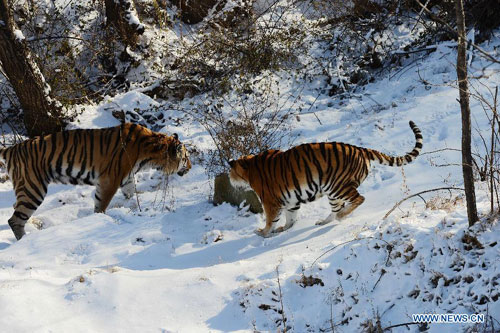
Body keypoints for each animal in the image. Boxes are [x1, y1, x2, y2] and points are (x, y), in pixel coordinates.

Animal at [0, 122, 191, 239]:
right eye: (186, 157)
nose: (190, 167)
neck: (150, 153)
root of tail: (11, 149)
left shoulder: (127, 177)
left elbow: (131, 192)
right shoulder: (109, 179)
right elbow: (102, 204)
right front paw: (100, 219)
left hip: (27, 188)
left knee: (16, 208)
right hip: (34, 188)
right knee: (14, 219)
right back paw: (25, 239)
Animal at [229, 119, 422, 236]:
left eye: (230, 173)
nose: (230, 182)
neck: (249, 167)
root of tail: (361, 149)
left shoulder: (270, 202)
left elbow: (271, 220)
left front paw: (262, 232)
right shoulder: (291, 201)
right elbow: (291, 217)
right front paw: (284, 228)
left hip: (338, 186)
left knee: (358, 199)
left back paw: (341, 216)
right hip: (333, 191)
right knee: (337, 208)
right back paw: (324, 221)